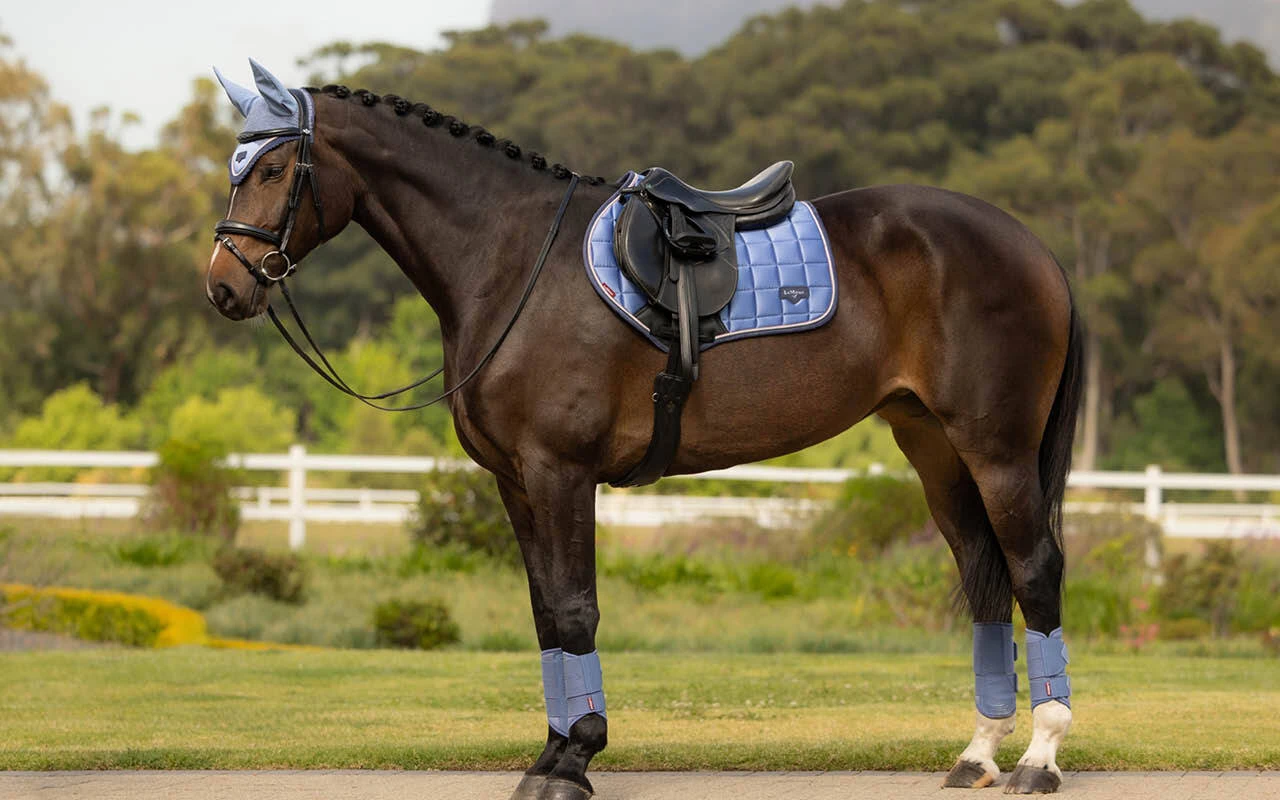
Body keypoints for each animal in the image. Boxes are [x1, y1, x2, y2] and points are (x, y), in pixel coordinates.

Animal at [204, 61, 1082, 798]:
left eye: (274, 169)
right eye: (236, 169)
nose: (222, 289)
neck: (512, 260)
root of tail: (1031, 244)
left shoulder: (561, 471)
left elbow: (575, 611)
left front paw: (576, 759)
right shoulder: (516, 481)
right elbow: (546, 616)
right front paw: (551, 754)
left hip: (996, 449)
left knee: (1034, 570)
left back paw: (1039, 758)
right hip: (933, 446)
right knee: (983, 575)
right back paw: (977, 753)